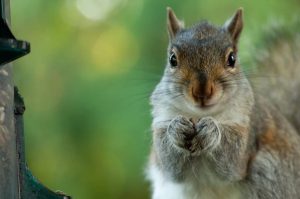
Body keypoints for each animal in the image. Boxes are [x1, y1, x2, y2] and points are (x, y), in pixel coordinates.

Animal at [148, 6, 300, 199]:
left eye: (232, 58)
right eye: (172, 59)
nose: (202, 92)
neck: (199, 116)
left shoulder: (249, 127)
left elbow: (232, 163)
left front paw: (212, 131)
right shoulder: (161, 119)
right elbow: (171, 167)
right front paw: (176, 128)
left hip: (269, 173)